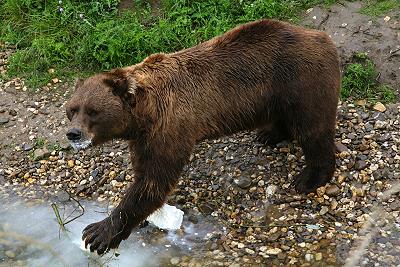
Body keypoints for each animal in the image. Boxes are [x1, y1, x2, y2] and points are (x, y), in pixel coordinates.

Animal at [65, 19, 340, 255]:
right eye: (72, 109)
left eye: (93, 110)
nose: (73, 133)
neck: (144, 114)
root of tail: (323, 37)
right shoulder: (144, 137)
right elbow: (144, 174)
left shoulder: (168, 129)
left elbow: (153, 181)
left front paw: (97, 232)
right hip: (275, 95)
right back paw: (269, 134)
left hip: (300, 80)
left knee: (313, 130)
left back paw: (309, 178)